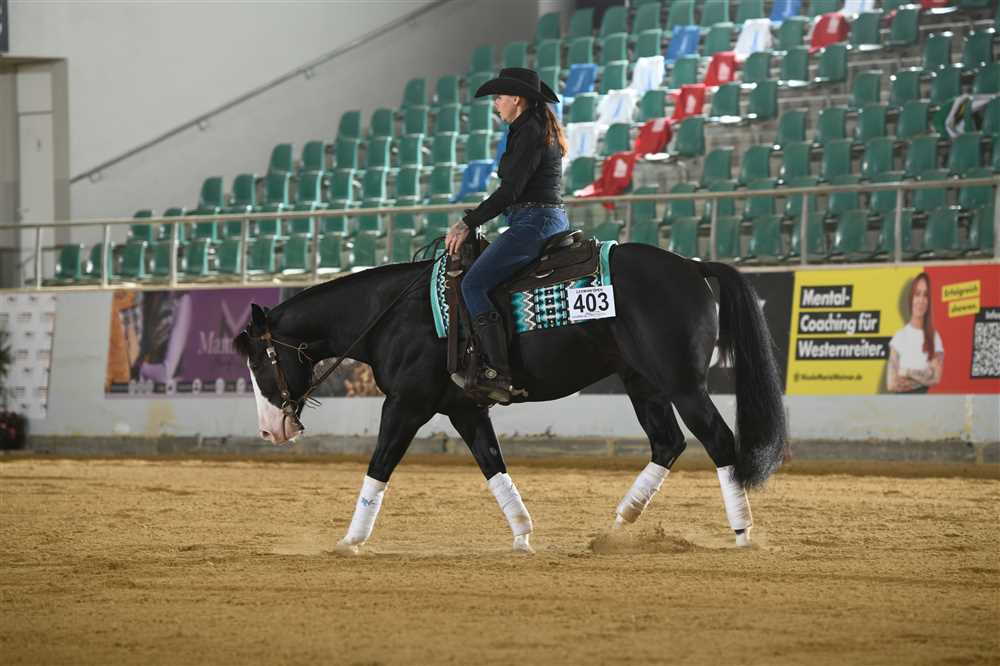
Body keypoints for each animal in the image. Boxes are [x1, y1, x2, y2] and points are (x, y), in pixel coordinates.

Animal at [233, 242, 787, 554]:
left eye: (259, 362)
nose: (268, 429)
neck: (392, 313)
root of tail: (692, 265)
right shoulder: (464, 408)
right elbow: (492, 465)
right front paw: (523, 535)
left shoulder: (407, 404)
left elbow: (379, 466)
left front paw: (350, 540)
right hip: (643, 383)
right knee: (667, 443)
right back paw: (618, 525)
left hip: (683, 385)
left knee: (718, 442)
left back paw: (742, 533)